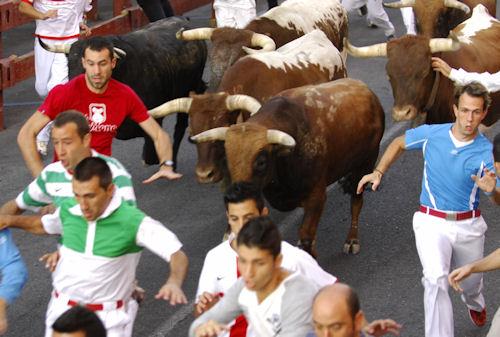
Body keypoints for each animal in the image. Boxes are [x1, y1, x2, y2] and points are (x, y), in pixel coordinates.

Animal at [190, 79, 382, 258]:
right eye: (228, 158)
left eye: (261, 162)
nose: (234, 196)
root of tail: (366, 90)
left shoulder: (317, 196)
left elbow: (306, 235)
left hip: (366, 164)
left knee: (356, 201)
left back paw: (352, 240)